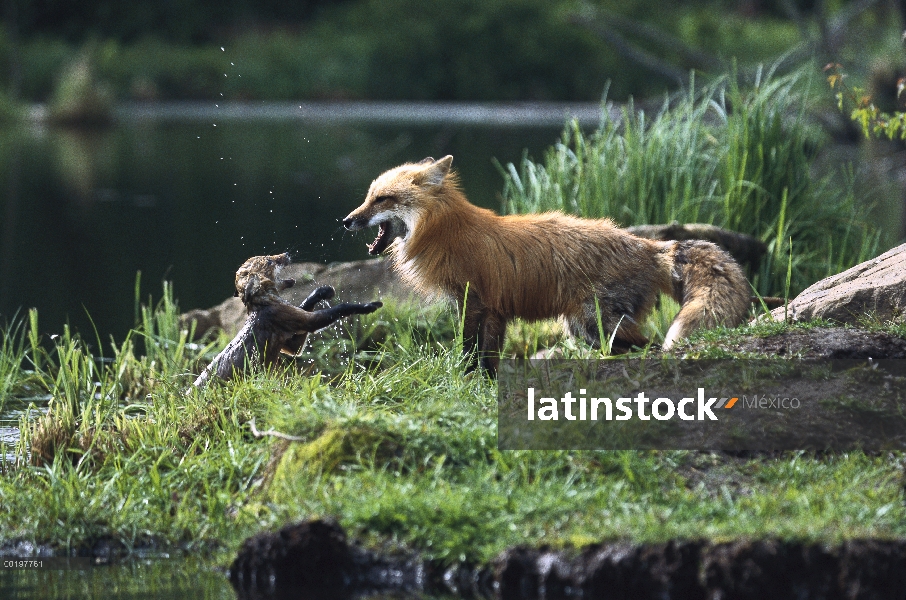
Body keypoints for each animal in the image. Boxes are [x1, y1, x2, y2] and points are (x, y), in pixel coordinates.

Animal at [193, 254, 382, 390]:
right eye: (270, 261)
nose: (286, 254)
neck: (264, 304)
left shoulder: (291, 342)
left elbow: (306, 304)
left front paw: (323, 291)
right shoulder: (292, 319)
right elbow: (339, 308)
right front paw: (369, 306)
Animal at [342, 157, 744, 378]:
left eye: (382, 199)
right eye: (367, 197)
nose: (345, 221)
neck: (447, 233)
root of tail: (648, 245)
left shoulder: (472, 302)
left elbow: (468, 352)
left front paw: (464, 379)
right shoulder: (494, 310)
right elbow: (488, 360)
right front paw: (484, 388)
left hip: (594, 324)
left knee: (653, 345)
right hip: (588, 329)